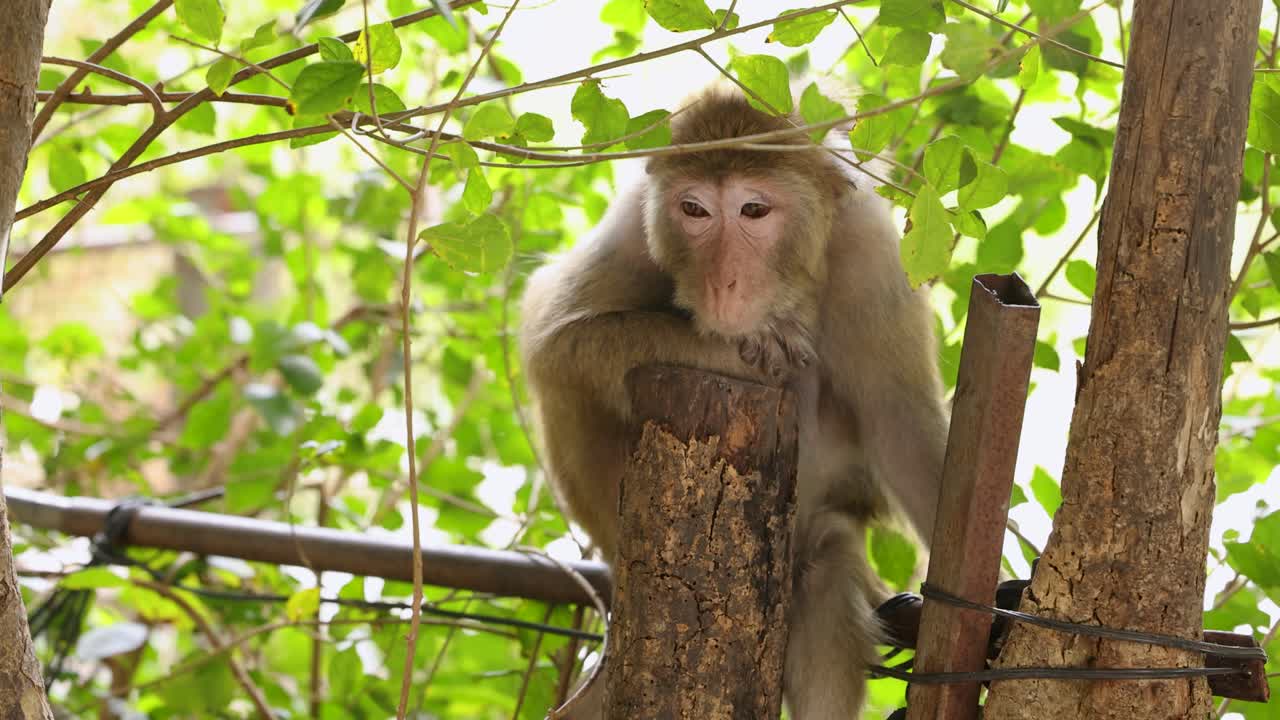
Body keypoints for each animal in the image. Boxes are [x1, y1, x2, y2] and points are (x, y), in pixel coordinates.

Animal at [519, 84, 949, 719]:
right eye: (694, 211)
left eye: (754, 211)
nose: (723, 283)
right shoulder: (633, 227)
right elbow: (556, 341)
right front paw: (756, 344)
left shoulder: (871, 251)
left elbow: (901, 423)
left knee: (826, 557)